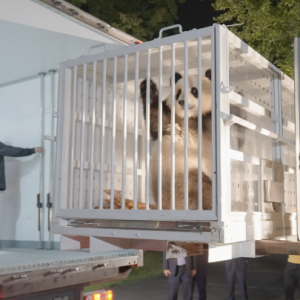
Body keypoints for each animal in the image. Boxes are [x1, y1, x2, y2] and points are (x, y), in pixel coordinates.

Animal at [139, 70, 212, 211]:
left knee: (205, 190)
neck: (190, 117)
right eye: (178, 92)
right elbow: (156, 119)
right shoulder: (171, 119)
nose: (181, 101)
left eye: (194, 90)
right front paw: (148, 89)